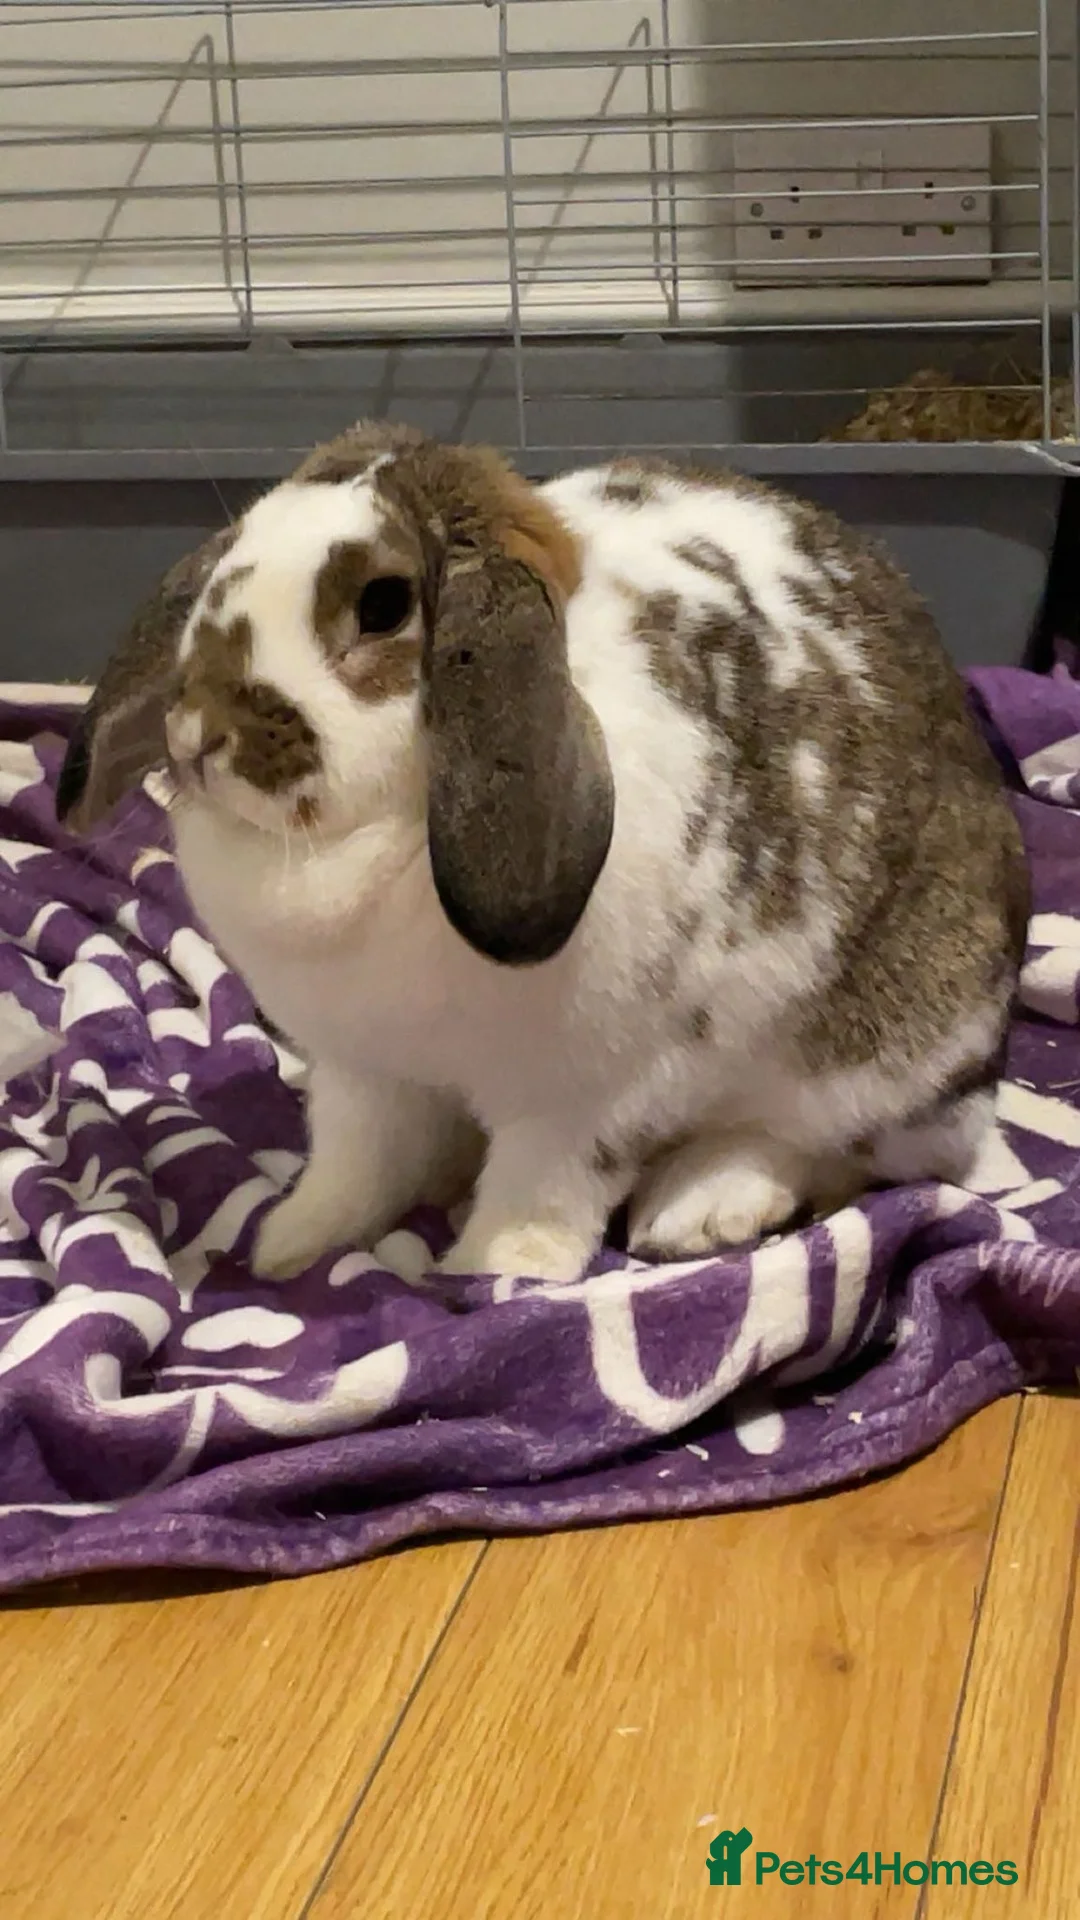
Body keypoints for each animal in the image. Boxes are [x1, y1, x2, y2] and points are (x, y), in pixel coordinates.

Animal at [55, 421, 1029, 1286]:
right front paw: (291, 1242)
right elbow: (356, 1163)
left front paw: (496, 1271)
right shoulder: (365, 1074)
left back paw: (698, 1208)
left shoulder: (580, 1100)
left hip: (882, 1052)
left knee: (836, 1153)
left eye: (383, 605)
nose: (194, 735)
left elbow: (545, 1188)